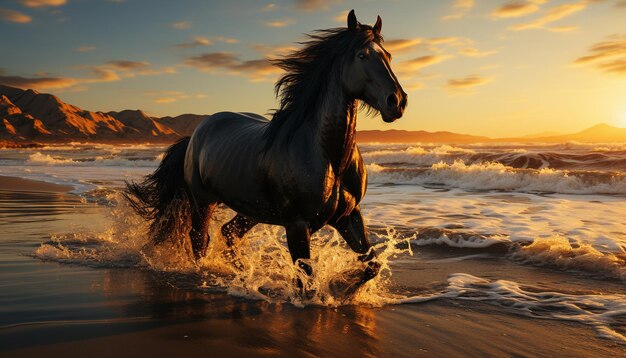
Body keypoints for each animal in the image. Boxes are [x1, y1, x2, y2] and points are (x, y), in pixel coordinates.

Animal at [126, 9, 408, 286]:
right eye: (362, 55)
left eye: (389, 55)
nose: (397, 101)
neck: (326, 156)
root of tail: (195, 133)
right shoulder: (297, 225)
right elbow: (306, 280)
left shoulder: (349, 216)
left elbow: (371, 264)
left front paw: (344, 285)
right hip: (203, 201)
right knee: (199, 240)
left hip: (251, 208)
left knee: (229, 233)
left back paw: (242, 276)